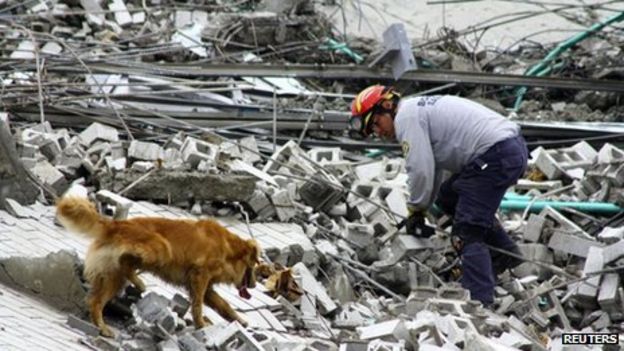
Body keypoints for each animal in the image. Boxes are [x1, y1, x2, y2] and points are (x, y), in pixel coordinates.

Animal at [54, 198, 258, 338]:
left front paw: (239, 321)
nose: (255, 285)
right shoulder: (200, 277)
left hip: (112, 277)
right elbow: (198, 305)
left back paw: (101, 326)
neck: (229, 249)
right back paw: (139, 282)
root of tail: (116, 224)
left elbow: (224, 305)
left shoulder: (204, 286)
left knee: (96, 301)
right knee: (126, 261)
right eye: (255, 267)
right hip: (161, 248)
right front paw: (201, 323)